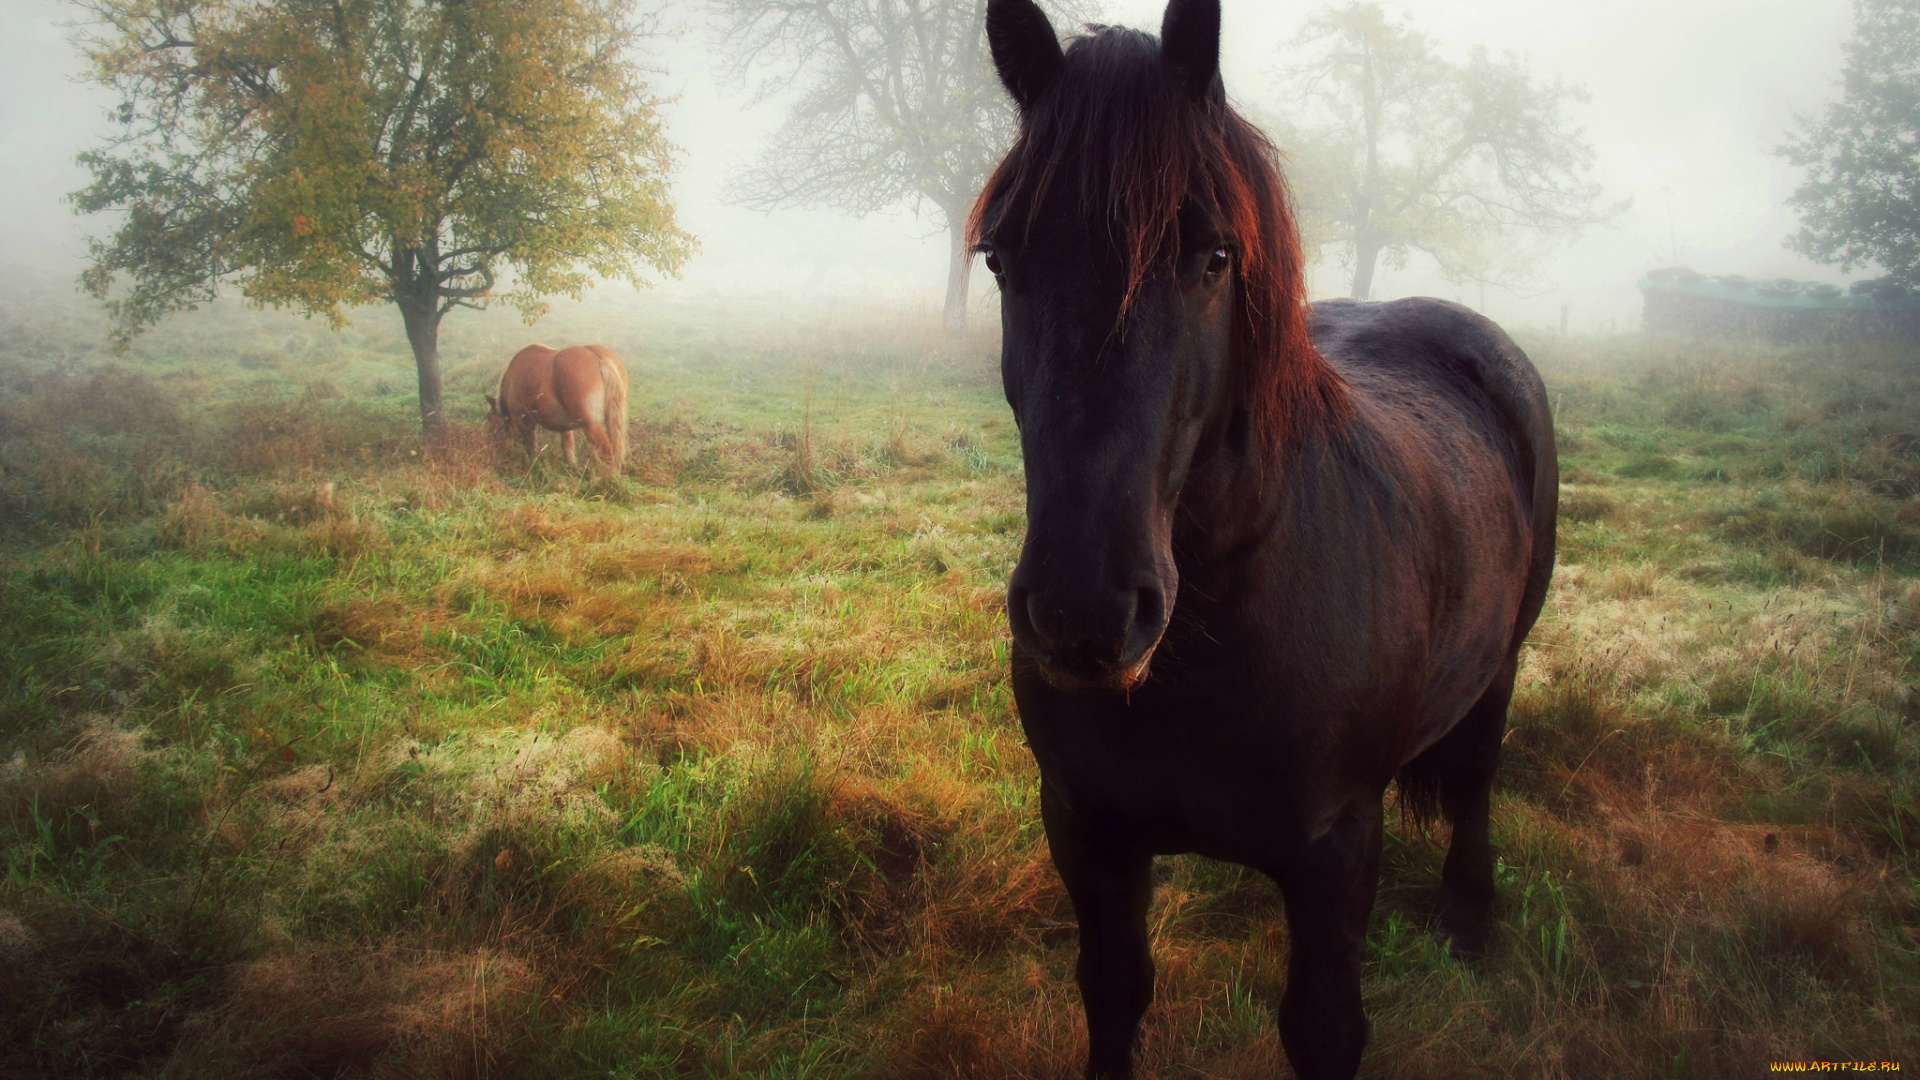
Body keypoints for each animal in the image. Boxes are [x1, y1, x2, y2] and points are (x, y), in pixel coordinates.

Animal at [487, 340, 629, 466]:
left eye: (491, 419)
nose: (494, 445)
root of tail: (598, 358)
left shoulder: (523, 420)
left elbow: (531, 446)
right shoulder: (566, 428)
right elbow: (568, 447)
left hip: (591, 426)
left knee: (608, 453)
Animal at [975, 2, 1559, 1076]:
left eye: (1213, 256)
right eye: (1001, 258)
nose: (1085, 614)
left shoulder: (1335, 852)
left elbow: (1323, 1027)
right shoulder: (1086, 829)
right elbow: (1114, 993)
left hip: (1501, 664)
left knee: (1477, 775)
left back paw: (1468, 913)